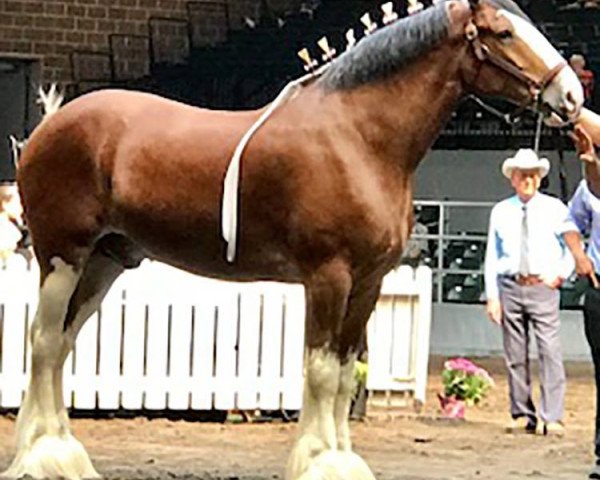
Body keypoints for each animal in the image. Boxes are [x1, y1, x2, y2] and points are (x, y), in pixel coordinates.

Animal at [0, 0, 580, 480]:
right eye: (504, 32)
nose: (572, 94)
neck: (358, 138)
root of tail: (50, 125)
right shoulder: (328, 275)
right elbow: (320, 372)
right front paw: (320, 462)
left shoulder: (368, 282)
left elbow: (344, 372)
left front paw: (343, 460)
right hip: (64, 256)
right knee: (44, 342)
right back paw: (44, 457)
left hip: (106, 260)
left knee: (61, 345)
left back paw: (63, 455)